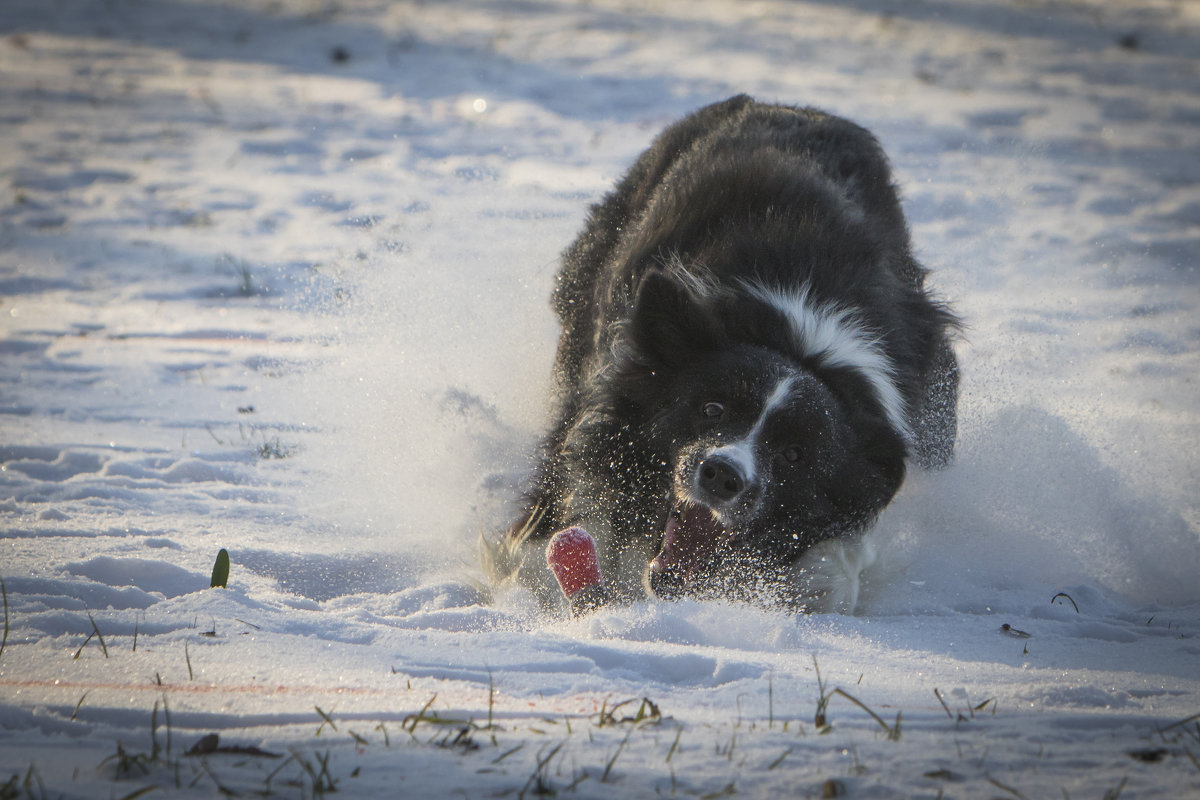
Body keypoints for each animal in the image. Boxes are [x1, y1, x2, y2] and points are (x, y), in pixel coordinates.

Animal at [482, 97, 960, 618]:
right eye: (711, 408)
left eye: (795, 455)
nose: (721, 475)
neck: (795, 340)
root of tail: (782, 103)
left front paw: (823, 581)